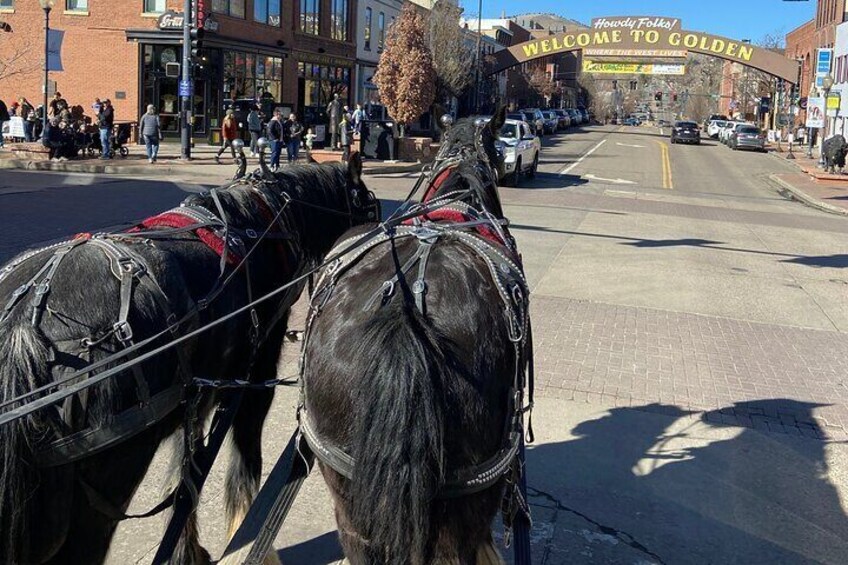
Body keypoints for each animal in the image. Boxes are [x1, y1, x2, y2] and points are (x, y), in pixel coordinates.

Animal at [0, 154, 378, 564]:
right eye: (370, 205)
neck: (266, 220)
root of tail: (27, 321)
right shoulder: (255, 373)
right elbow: (243, 463)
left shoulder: (194, 390)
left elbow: (186, 473)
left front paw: (188, 548)